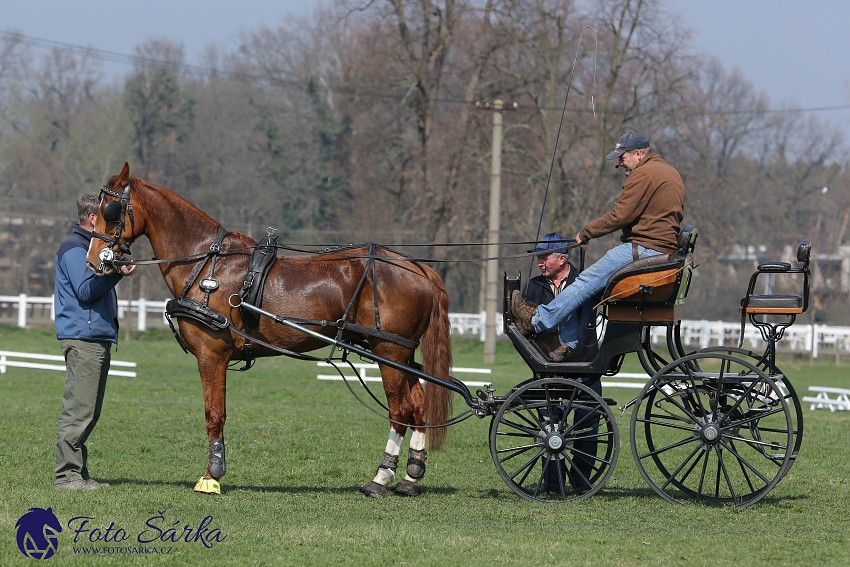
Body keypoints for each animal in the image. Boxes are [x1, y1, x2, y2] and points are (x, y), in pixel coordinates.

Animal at [88, 163, 450, 496]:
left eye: (110, 210)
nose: (95, 260)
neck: (208, 266)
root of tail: (418, 268)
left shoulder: (211, 354)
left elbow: (214, 413)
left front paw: (212, 475)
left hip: (389, 351)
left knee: (401, 410)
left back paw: (380, 478)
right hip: (401, 354)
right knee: (419, 406)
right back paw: (410, 478)